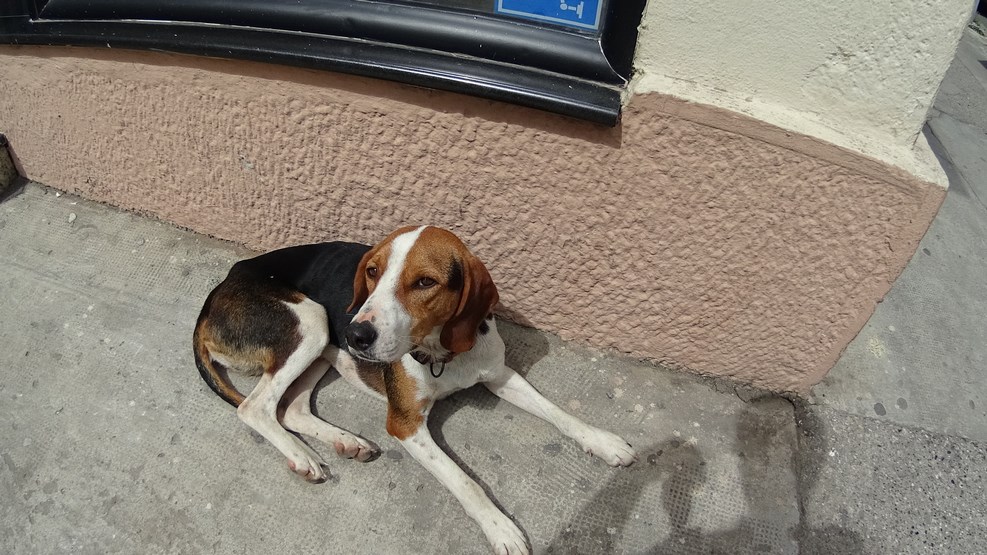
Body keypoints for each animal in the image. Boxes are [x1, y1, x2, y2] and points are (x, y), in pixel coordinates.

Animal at [192, 225, 637, 554]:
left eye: (425, 282)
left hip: (322, 343)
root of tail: (221, 286)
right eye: (372, 272)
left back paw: (346, 441)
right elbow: (465, 481)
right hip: (313, 321)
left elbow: (559, 413)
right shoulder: (405, 425)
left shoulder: (500, 375)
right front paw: (499, 526)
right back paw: (303, 455)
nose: (356, 334)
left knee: (291, 409)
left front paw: (603, 441)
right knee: (256, 407)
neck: (443, 353)